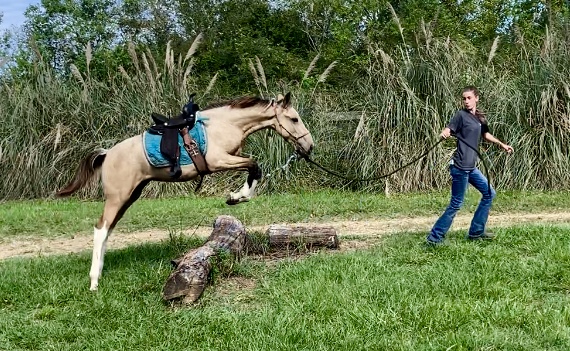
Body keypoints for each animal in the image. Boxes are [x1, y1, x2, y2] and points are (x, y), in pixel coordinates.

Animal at [55, 91, 312, 292]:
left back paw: (99, 272)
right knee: (101, 229)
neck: (224, 124)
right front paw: (236, 197)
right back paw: (94, 282)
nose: (309, 146)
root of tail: (107, 154)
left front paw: (237, 197)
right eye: (294, 118)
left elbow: (253, 168)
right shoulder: (219, 161)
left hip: (129, 197)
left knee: (107, 230)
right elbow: (254, 166)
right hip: (118, 198)